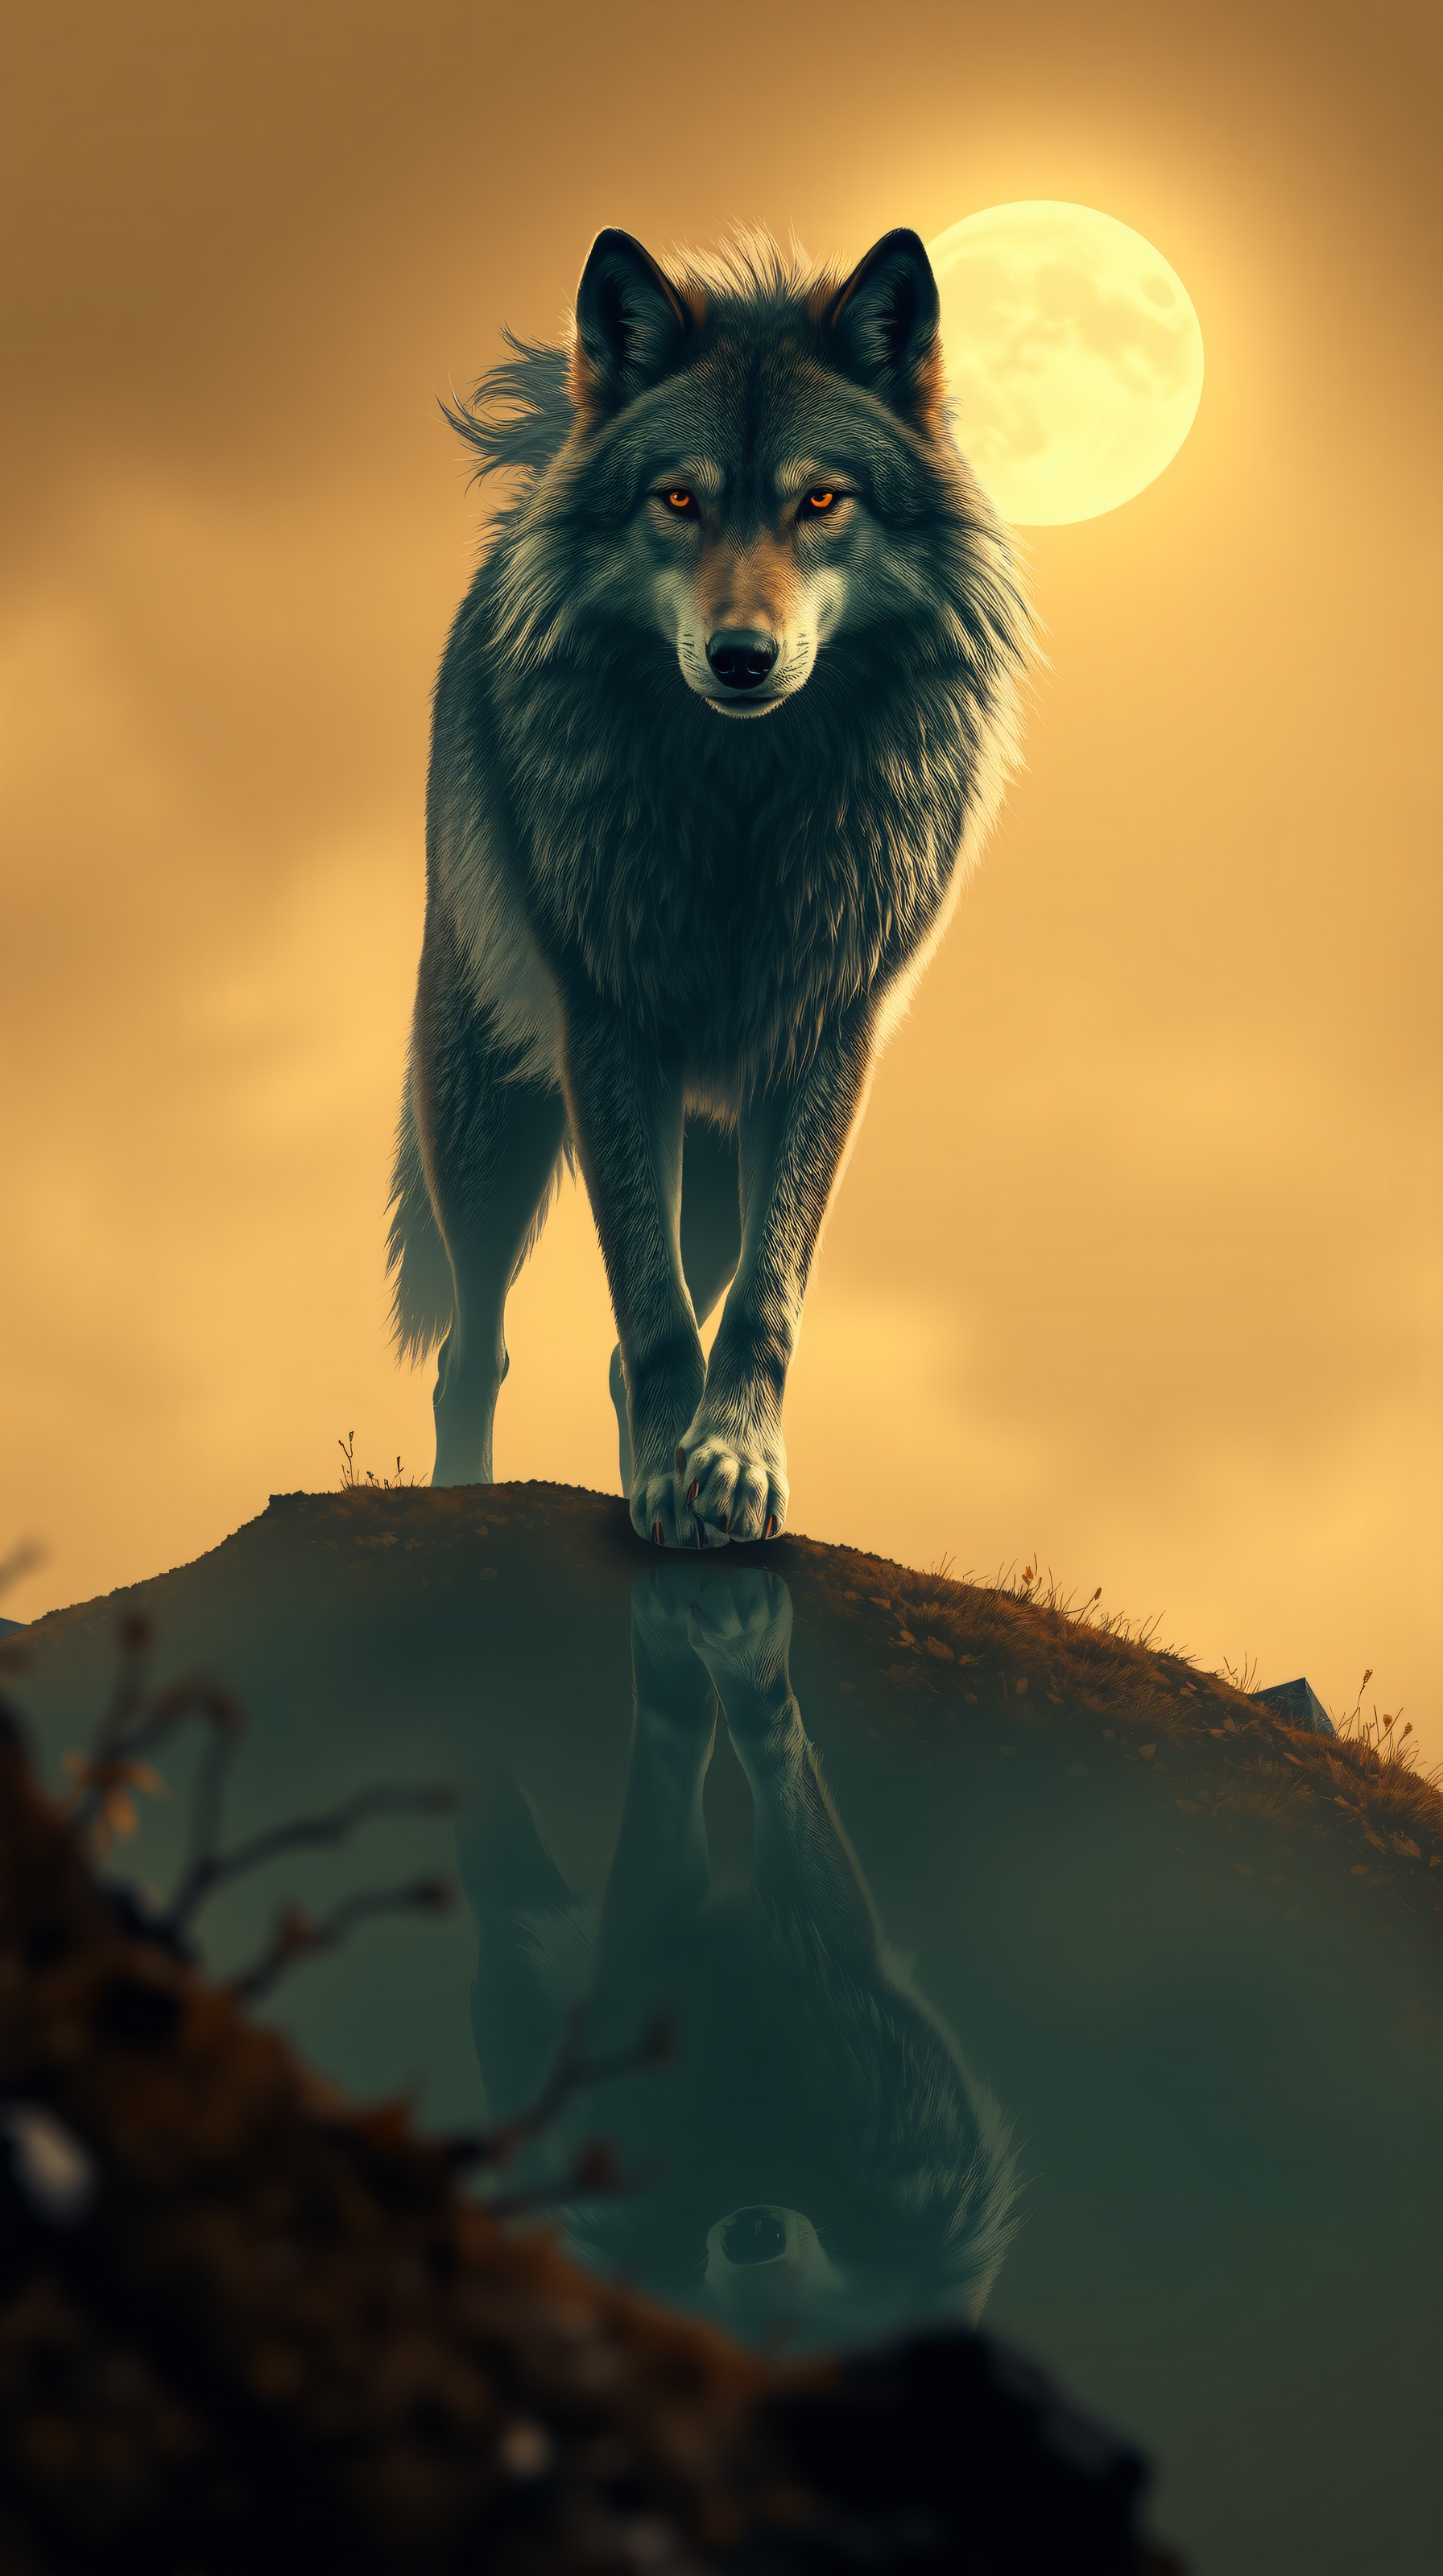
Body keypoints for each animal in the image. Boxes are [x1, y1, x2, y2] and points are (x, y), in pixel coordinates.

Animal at [388, 224, 1030, 1545]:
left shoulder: (826, 1039)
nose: (741, 657)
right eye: (677, 500)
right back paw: (463, 1498)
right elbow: (647, 1299)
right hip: (485, 1120)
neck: (745, 799)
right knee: (472, 1351)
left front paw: (731, 1462)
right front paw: (664, 1482)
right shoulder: (608, 1028)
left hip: (712, 1147)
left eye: (821, 500)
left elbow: (762, 1301)